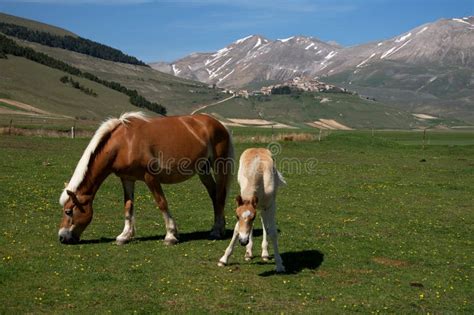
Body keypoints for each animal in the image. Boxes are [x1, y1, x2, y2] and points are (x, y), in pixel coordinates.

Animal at [58, 112, 234, 246]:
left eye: (68, 211)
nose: (61, 237)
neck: (124, 143)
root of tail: (220, 125)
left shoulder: (151, 178)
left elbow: (162, 203)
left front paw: (171, 235)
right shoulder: (127, 179)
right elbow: (128, 206)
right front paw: (124, 236)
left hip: (219, 167)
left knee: (219, 196)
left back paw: (217, 231)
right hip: (203, 170)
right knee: (214, 195)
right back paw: (218, 228)